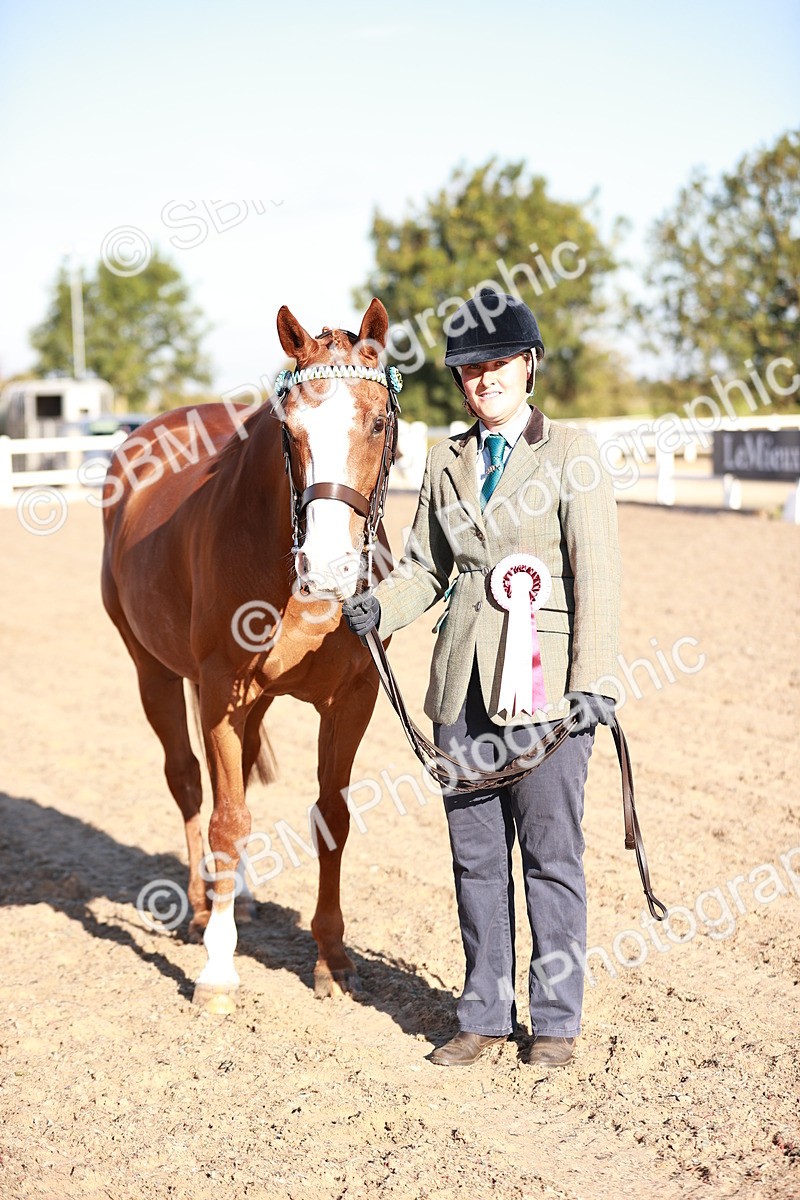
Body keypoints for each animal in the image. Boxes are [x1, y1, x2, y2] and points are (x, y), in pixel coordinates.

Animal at [100, 299, 398, 1011]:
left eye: (378, 423)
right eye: (289, 432)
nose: (329, 568)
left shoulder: (352, 700)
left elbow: (332, 816)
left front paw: (333, 959)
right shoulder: (217, 693)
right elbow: (227, 822)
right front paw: (217, 968)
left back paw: (238, 895)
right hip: (154, 671)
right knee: (187, 782)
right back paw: (203, 905)